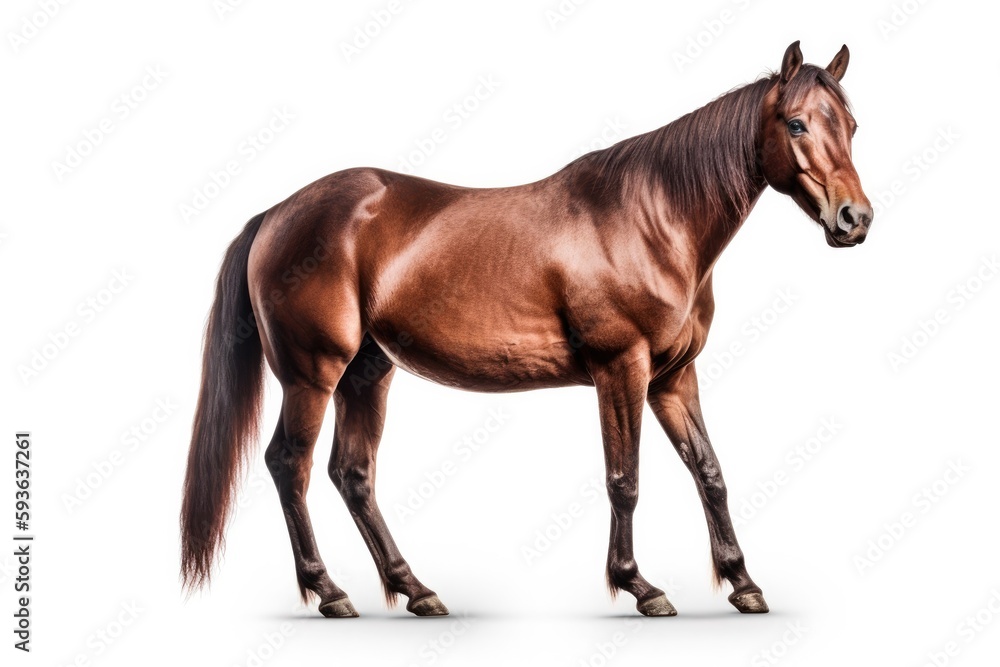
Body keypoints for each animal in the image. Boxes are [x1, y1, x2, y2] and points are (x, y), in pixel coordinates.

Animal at [180, 41, 872, 618]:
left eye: (852, 125)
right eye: (796, 123)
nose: (855, 218)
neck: (651, 219)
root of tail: (277, 212)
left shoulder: (673, 378)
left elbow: (711, 473)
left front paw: (742, 582)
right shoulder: (621, 369)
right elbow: (625, 479)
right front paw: (638, 585)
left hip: (366, 374)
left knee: (352, 475)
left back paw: (415, 589)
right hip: (312, 376)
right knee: (289, 465)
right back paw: (328, 590)